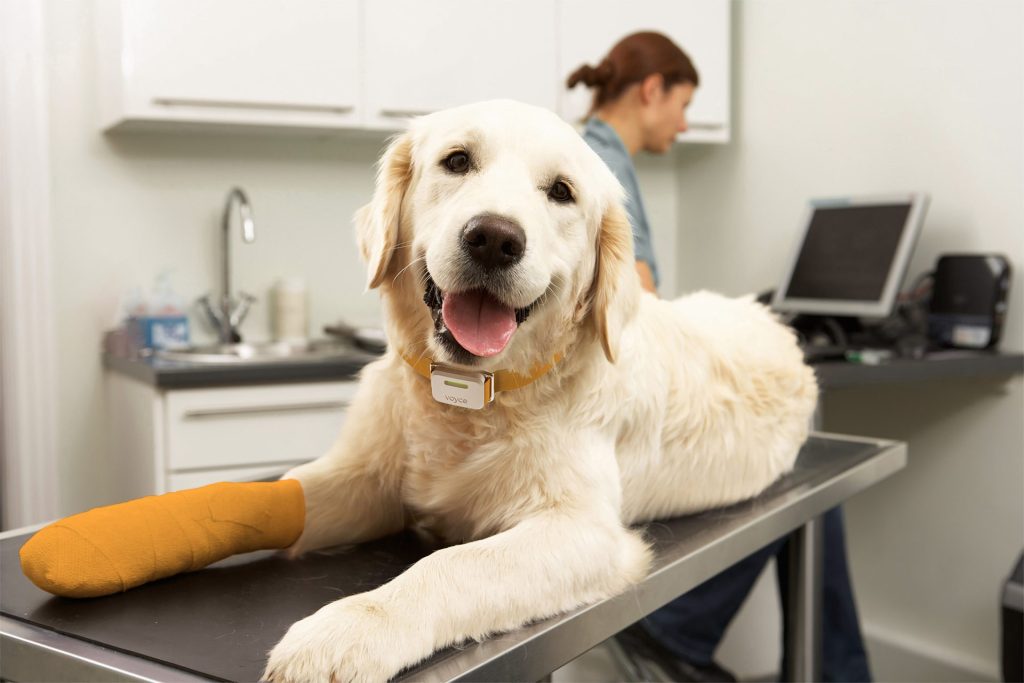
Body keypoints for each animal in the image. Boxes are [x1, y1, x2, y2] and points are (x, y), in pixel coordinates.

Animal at [262, 98, 815, 679]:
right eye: (457, 160)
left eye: (562, 191)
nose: (494, 238)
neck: (475, 394)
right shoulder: (364, 477)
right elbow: (290, 493)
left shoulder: (584, 530)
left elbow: (453, 564)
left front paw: (347, 629)